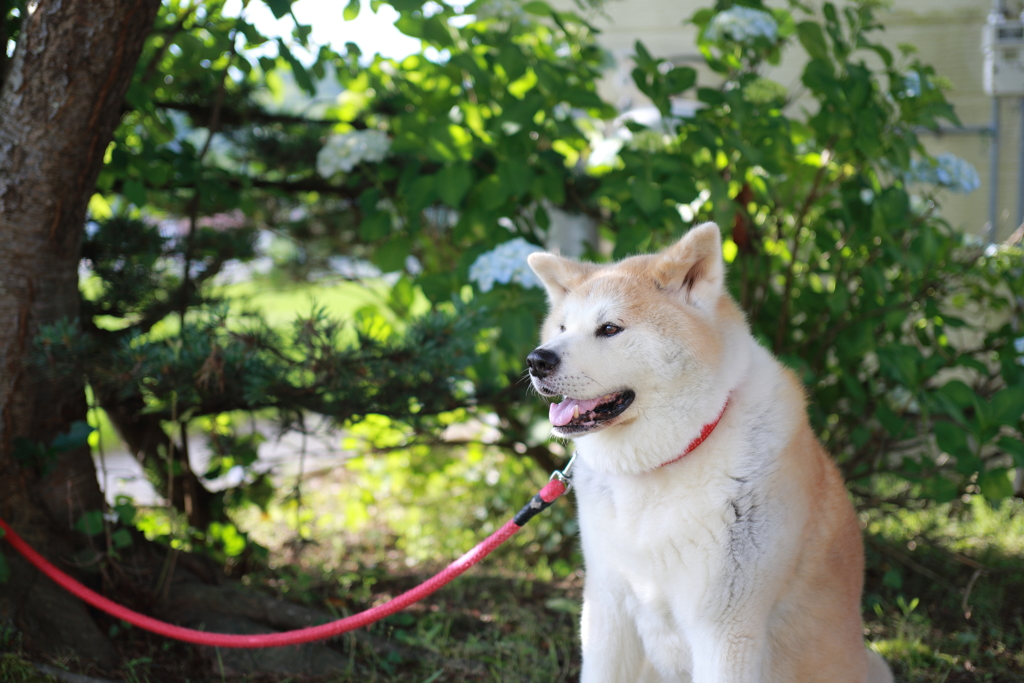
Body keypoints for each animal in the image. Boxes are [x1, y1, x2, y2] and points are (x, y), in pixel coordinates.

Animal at [528, 222, 888, 679]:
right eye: (561, 329)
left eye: (609, 328)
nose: (537, 360)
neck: (663, 465)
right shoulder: (607, 607)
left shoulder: (725, 629)